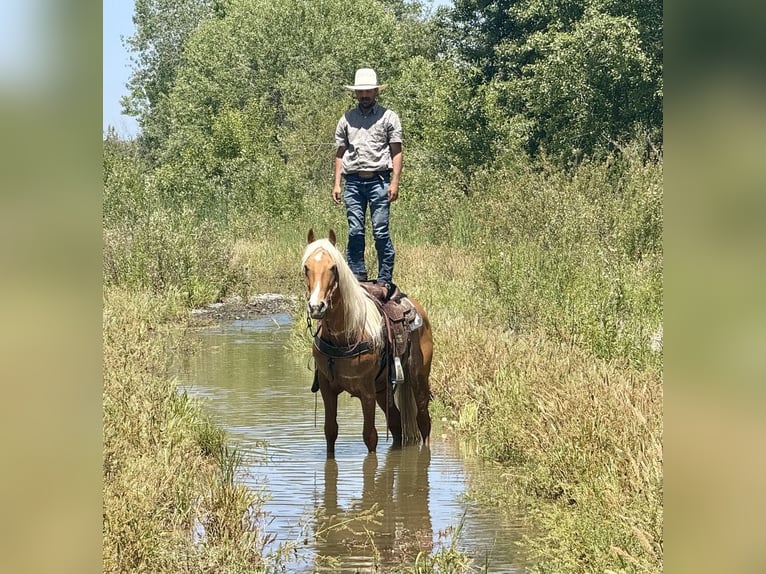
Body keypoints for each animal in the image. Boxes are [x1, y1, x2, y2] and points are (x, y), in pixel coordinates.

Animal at [302, 229, 433, 458]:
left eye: (333, 267)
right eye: (306, 267)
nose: (316, 307)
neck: (344, 335)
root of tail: (417, 309)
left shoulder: (366, 391)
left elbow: (370, 436)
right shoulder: (327, 388)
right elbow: (330, 431)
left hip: (418, 379)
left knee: (424, 420)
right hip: (383, 389)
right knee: (396, 422)